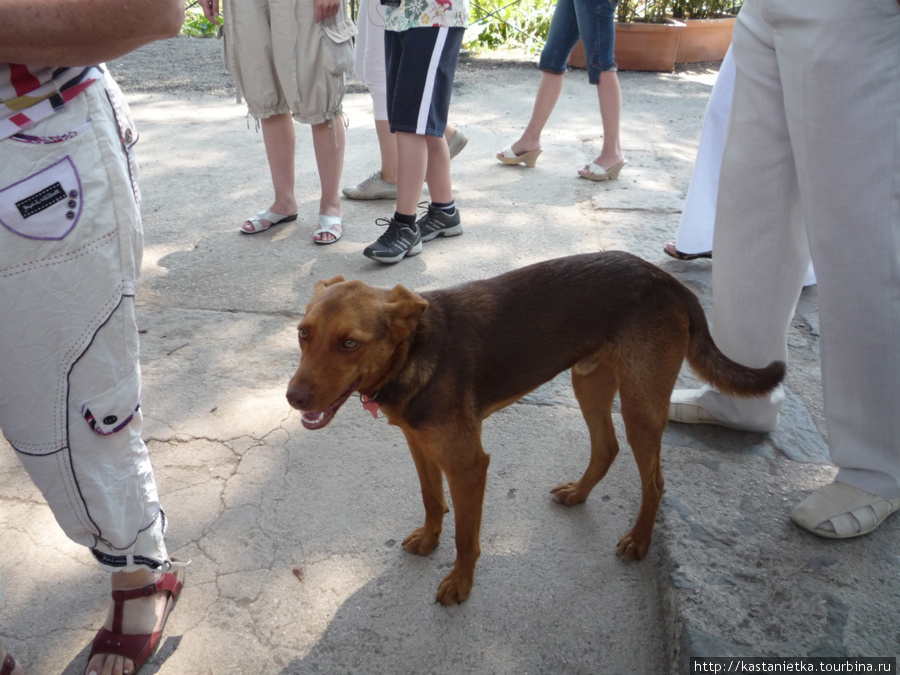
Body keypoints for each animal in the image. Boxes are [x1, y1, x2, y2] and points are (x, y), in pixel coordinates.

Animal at [284, 254, 784, 608]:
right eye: (303, 334)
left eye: (350, 343)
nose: (293, 398)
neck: (414, 351)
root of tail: (671, 283)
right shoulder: (419, 444)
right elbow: (431, 500)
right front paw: (429, 539)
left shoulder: (468, 466)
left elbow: (466, 537)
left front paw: (461, 583)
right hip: (589, 382)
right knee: (606, 447)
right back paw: (579, 494)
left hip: (641, 407)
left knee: (656, 482)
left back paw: (640, 540)